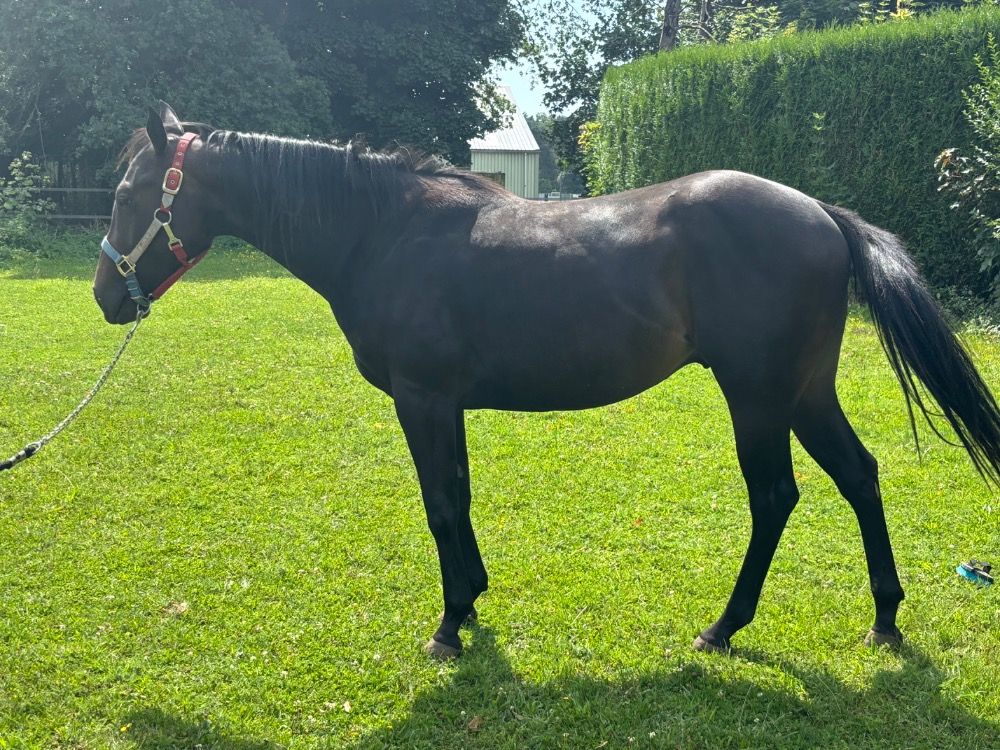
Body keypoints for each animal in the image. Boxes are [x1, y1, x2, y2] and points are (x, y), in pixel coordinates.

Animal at [93, 102, 1000, 659]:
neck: (383, 231)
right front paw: (471, 600)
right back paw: (884, 618)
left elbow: (440, 504)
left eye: (131, 193)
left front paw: (449, 625)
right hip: (805, 393)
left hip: (758, 397)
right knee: (860, 476)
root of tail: (821, 213)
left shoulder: (422, 399)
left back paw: (723, 627)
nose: (107, 296)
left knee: (776, 497)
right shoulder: (446, 403)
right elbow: (457, 497)